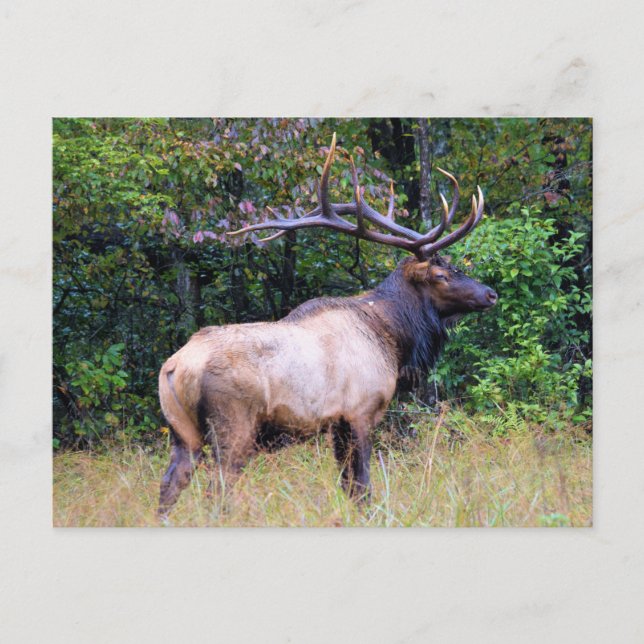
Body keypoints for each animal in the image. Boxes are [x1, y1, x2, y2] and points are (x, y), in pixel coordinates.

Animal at [157, 134, 498, 517]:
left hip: (182, 432)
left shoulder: (336, 423)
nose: (490, 294)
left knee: (169, 486)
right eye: (441, 275)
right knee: (218, 491)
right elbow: (362, 487)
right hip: (233, 426)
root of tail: (175, 368)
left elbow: (348, 486)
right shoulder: (360, 412)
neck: (393, 341)